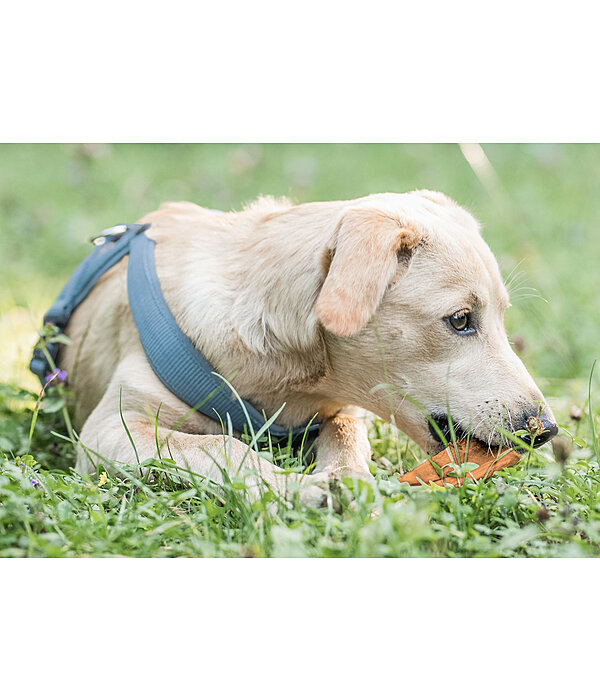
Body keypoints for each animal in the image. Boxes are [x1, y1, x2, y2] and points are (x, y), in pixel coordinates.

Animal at [58, 191, 560, 504]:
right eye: (460, 320)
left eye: (502, 316)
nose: (547, 430)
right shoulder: (112, 426)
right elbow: (220, 445)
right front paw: (294, 488)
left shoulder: (342, 411)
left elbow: (347, 433)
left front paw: (350, 478)